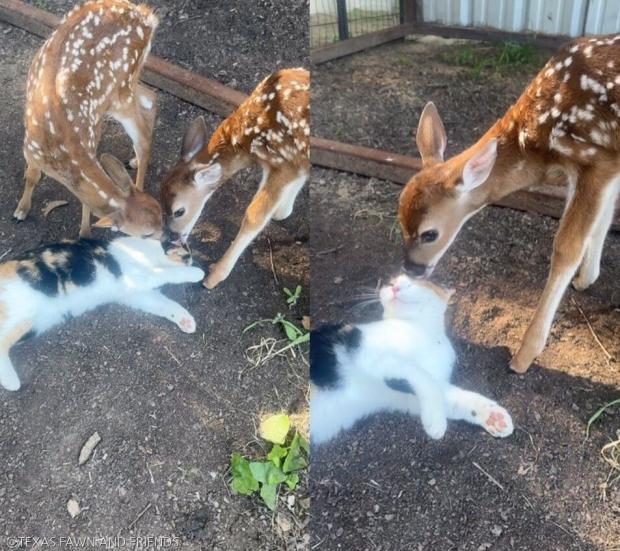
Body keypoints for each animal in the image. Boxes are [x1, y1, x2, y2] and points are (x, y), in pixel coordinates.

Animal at [0, 238, 203, 392]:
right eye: (187, 256)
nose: (193, 262)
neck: (145, 251)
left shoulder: (136, 294)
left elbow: (164, 304)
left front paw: (185, 320)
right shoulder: (138, 276)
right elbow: (168, 273)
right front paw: (196, 273)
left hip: (30, 324)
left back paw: (10, 381)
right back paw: (12, 382)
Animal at [310, 274, 512, 446]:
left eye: (414, 282)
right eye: (391, 283)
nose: (395, 287)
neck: (425, 332)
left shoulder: (407, 396)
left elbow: (455, 397)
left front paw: (493, 416)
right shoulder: (371, 355)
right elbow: (425, 380)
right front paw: (437, 424)